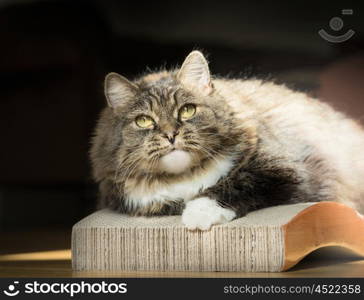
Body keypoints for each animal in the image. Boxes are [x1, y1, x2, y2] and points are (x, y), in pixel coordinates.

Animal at [89, 50, 364, 231]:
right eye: (144, 121)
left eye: (187, 110)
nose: (171, 135)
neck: (184, 177)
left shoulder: (289, 171)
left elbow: (234, 183)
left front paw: (198, 215)